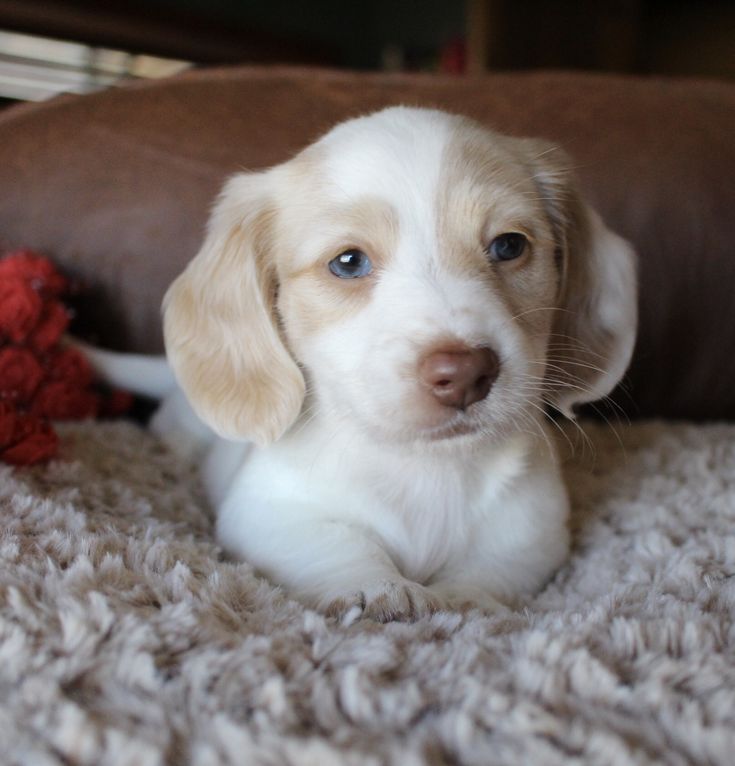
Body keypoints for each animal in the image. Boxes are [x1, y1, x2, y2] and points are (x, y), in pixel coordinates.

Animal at [92, 108, 636, 624]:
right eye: (349, 262)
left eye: (509, 245)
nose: (465, 373)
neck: (425, 469)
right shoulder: (269, 513)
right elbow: (338, 544)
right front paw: (375, 587)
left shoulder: (532, 531)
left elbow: (491, 570)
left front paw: (465, 599)